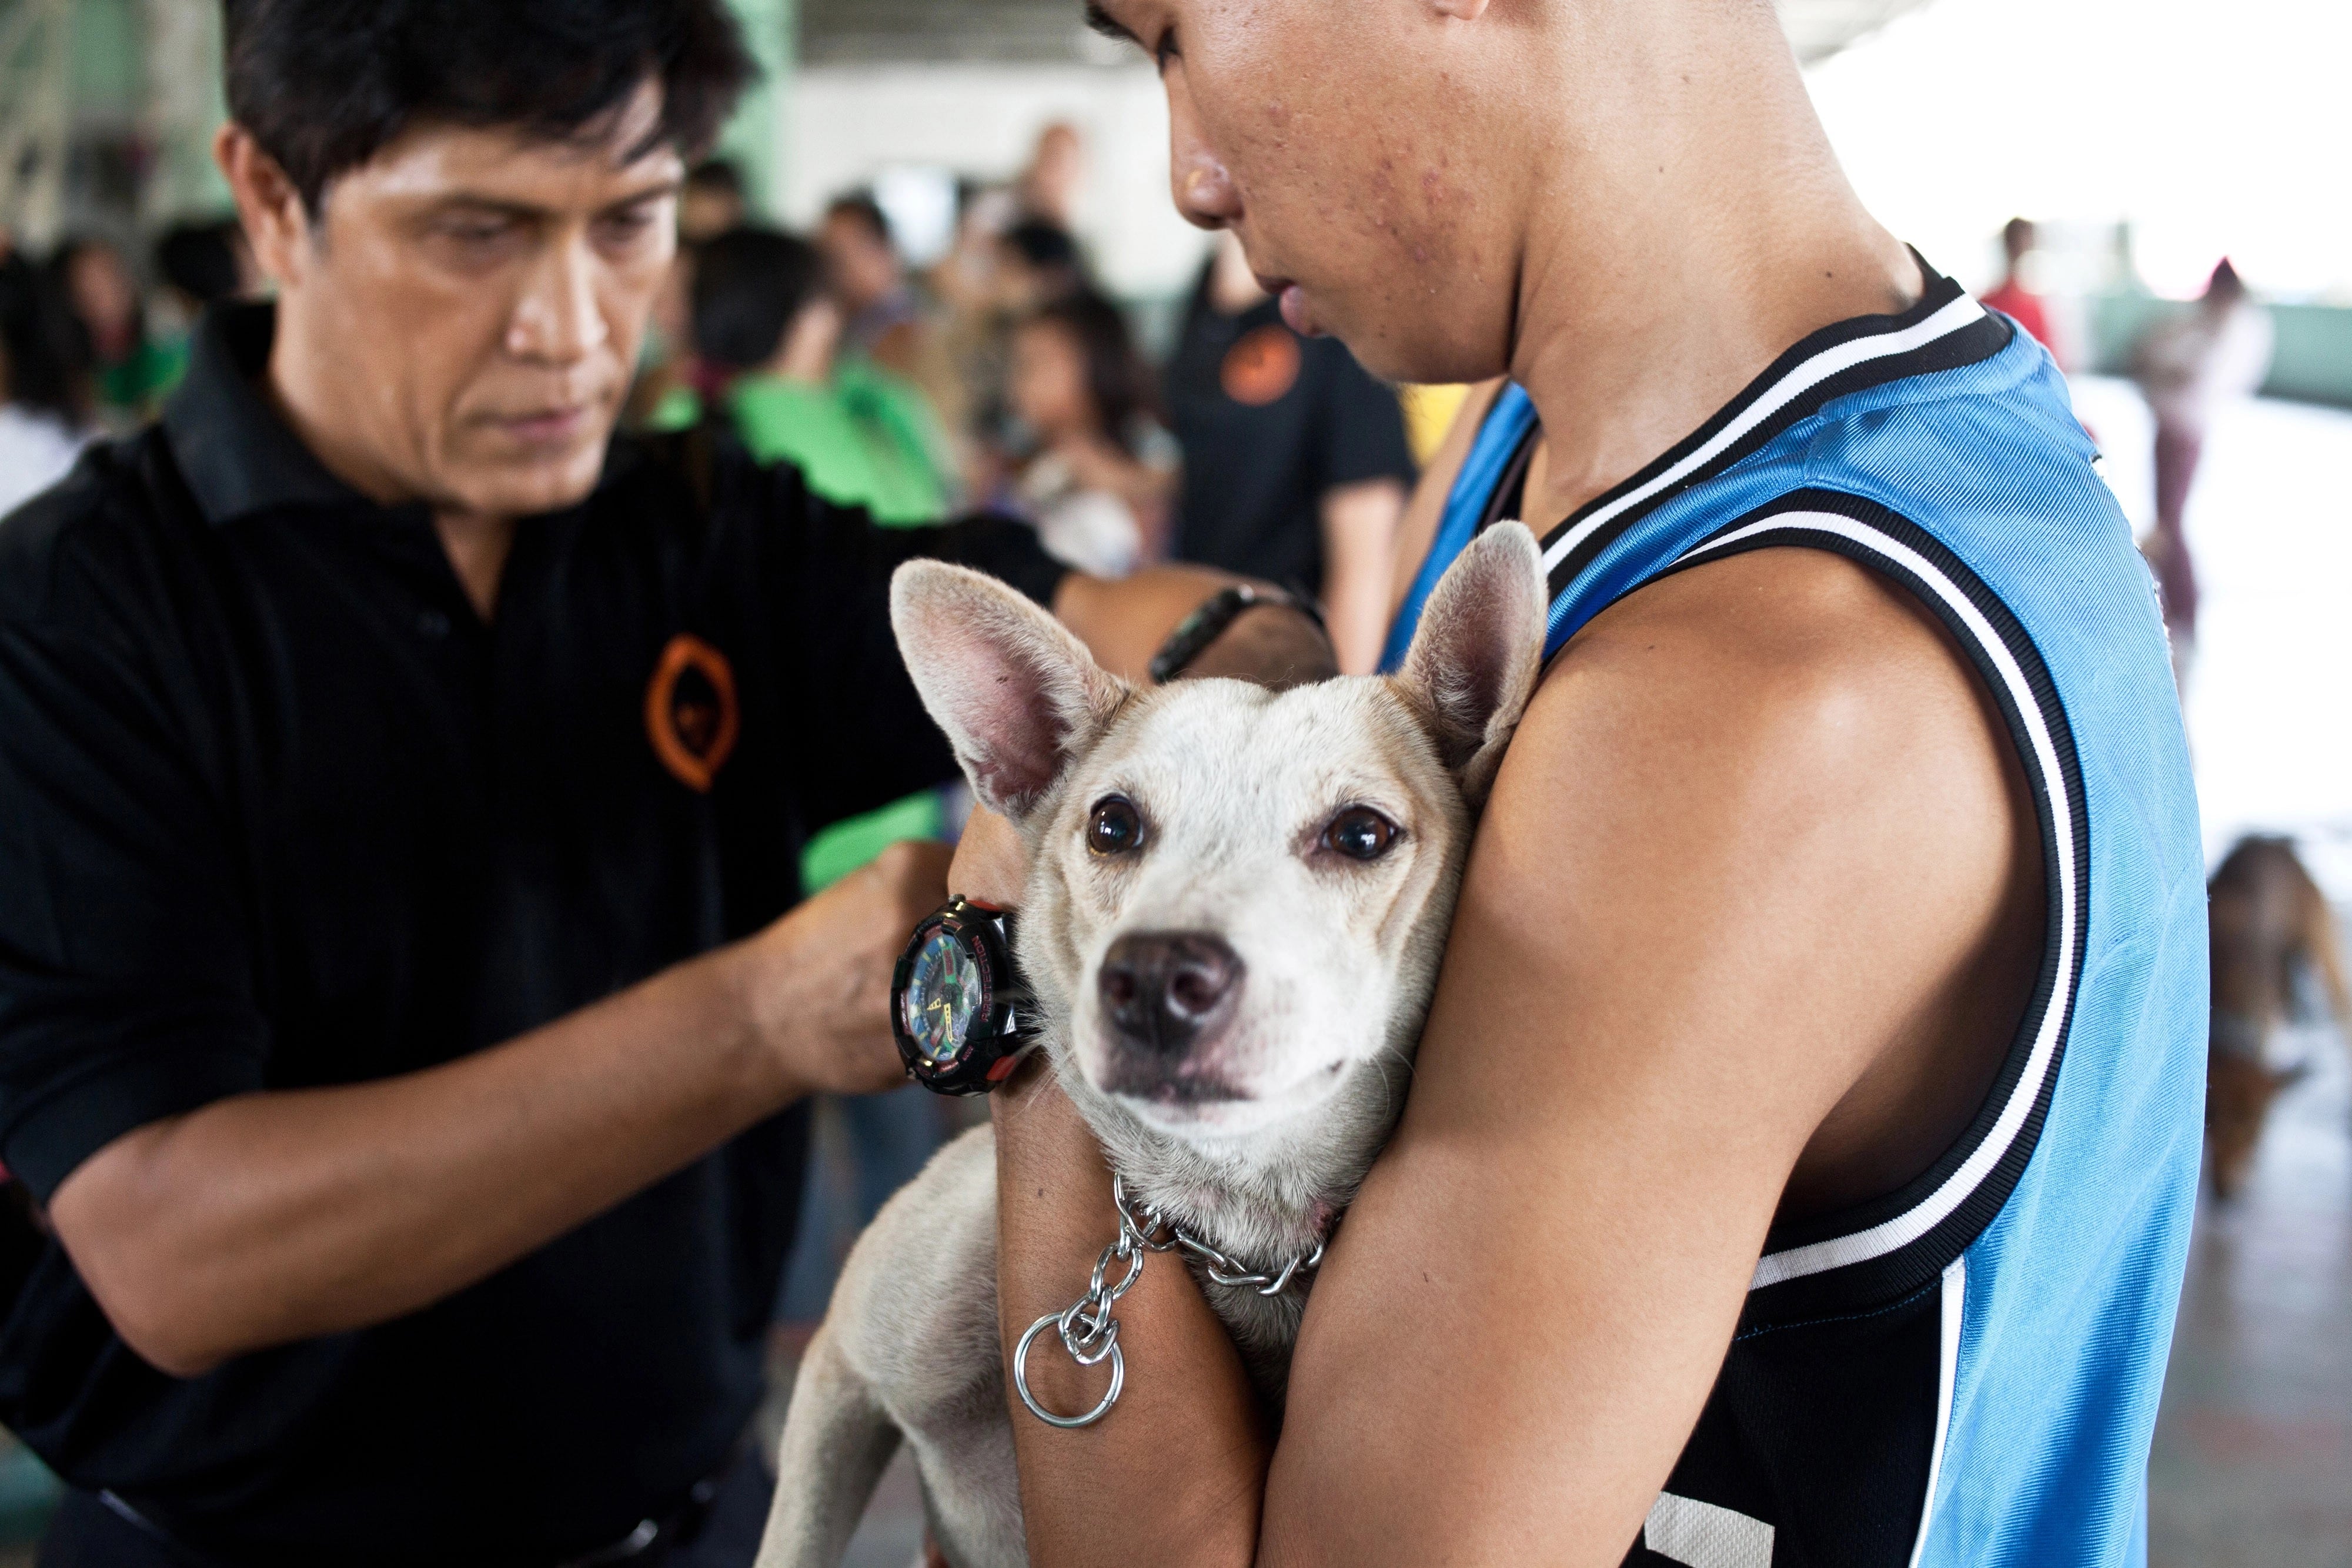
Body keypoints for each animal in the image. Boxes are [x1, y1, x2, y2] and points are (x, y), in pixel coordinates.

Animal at [753, 524, 1552, 1568]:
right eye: (1112, 823)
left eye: (1362, 832)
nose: (1154, 977)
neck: (1237, 1217)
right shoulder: (841, 1368)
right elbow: (791, 1539)